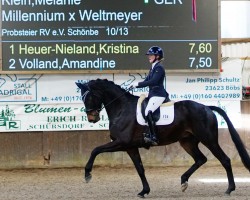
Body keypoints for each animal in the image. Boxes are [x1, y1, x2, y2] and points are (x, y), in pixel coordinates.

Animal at [76, 79, 250, 198]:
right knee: (200, 159)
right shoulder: (130, 147)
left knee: (224, 160)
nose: (92, 118)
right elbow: (140, 169)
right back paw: (184, 181)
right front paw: (144, 191)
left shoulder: (121, 143)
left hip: (209, 139)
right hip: (187, 142)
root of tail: (207, 107)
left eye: (89, 97)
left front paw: (87, 175)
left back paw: (229, 189)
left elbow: (95, 150)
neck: (121, 108)